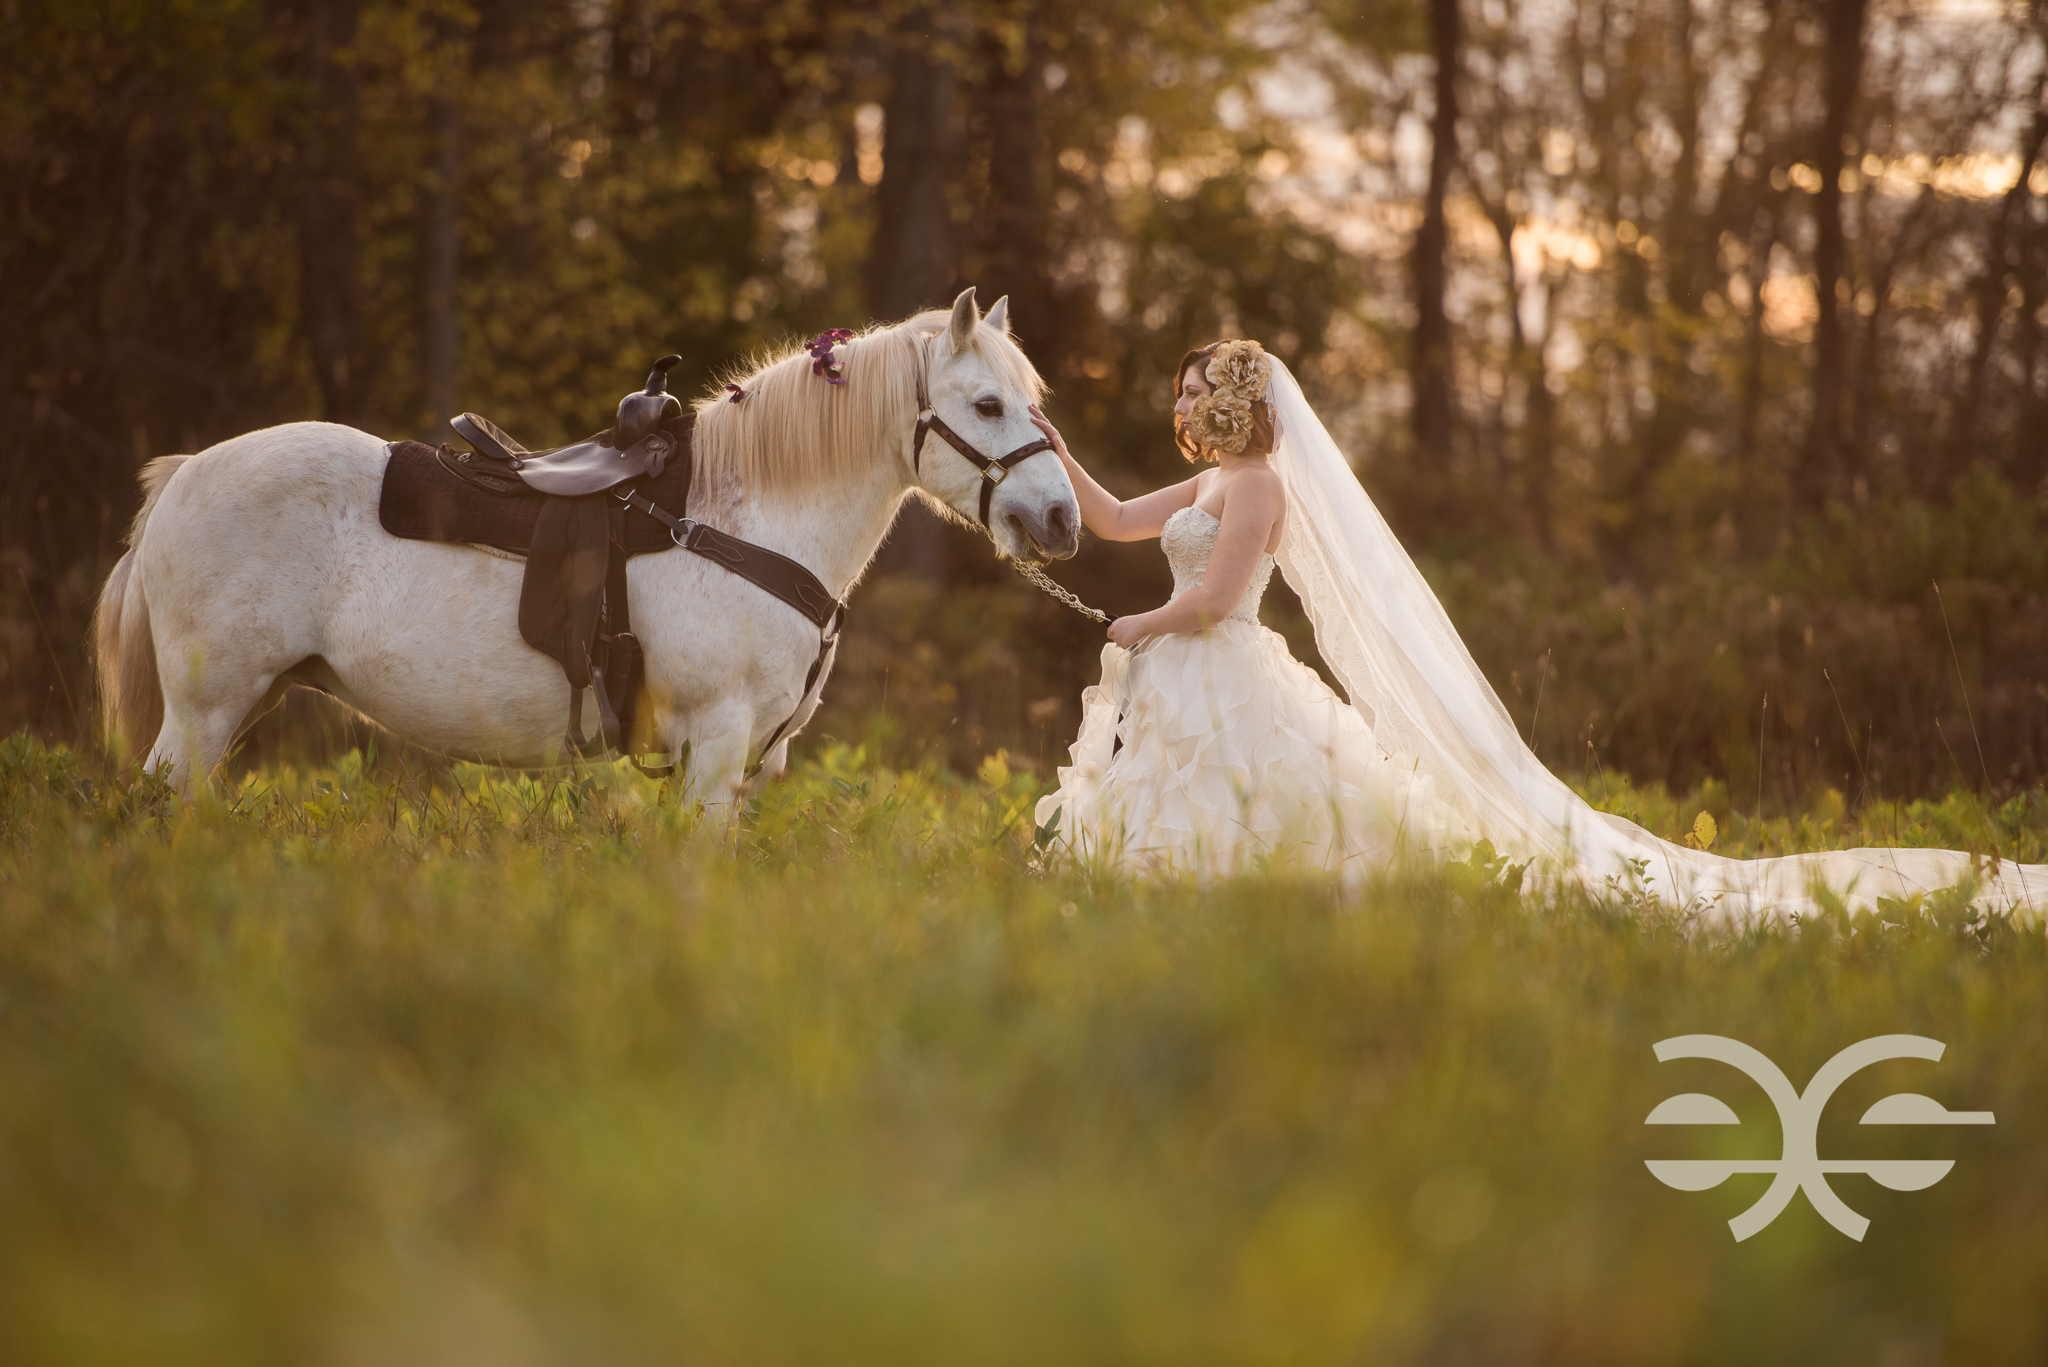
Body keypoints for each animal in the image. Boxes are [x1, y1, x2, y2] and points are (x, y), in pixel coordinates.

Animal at [92, 284, 1089, 807]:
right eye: (987, 404)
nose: (1061, 522)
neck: (744, 525)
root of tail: (184, 474)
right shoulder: (717, 743)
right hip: (205, 709)